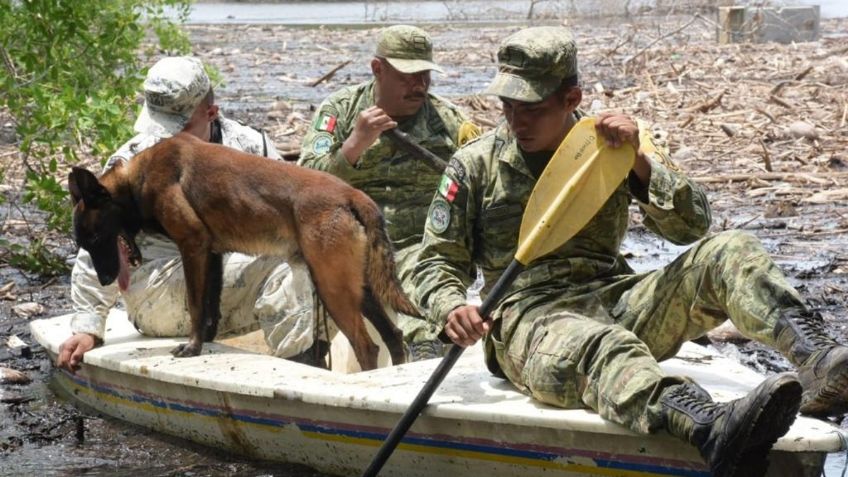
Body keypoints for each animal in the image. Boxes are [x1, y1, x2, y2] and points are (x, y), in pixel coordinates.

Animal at [68, 132, 420, 370]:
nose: (105, 279)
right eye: (86, 244)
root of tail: (350, 194)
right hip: (358, 288)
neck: (136, 179)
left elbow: (195, 305)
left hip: (332, 288)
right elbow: (208, 307)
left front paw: (191, 348)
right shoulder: (211, 256)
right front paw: (204, 343)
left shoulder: (193, 246)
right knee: (393, 335)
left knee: (367, 347)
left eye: (96, 237)